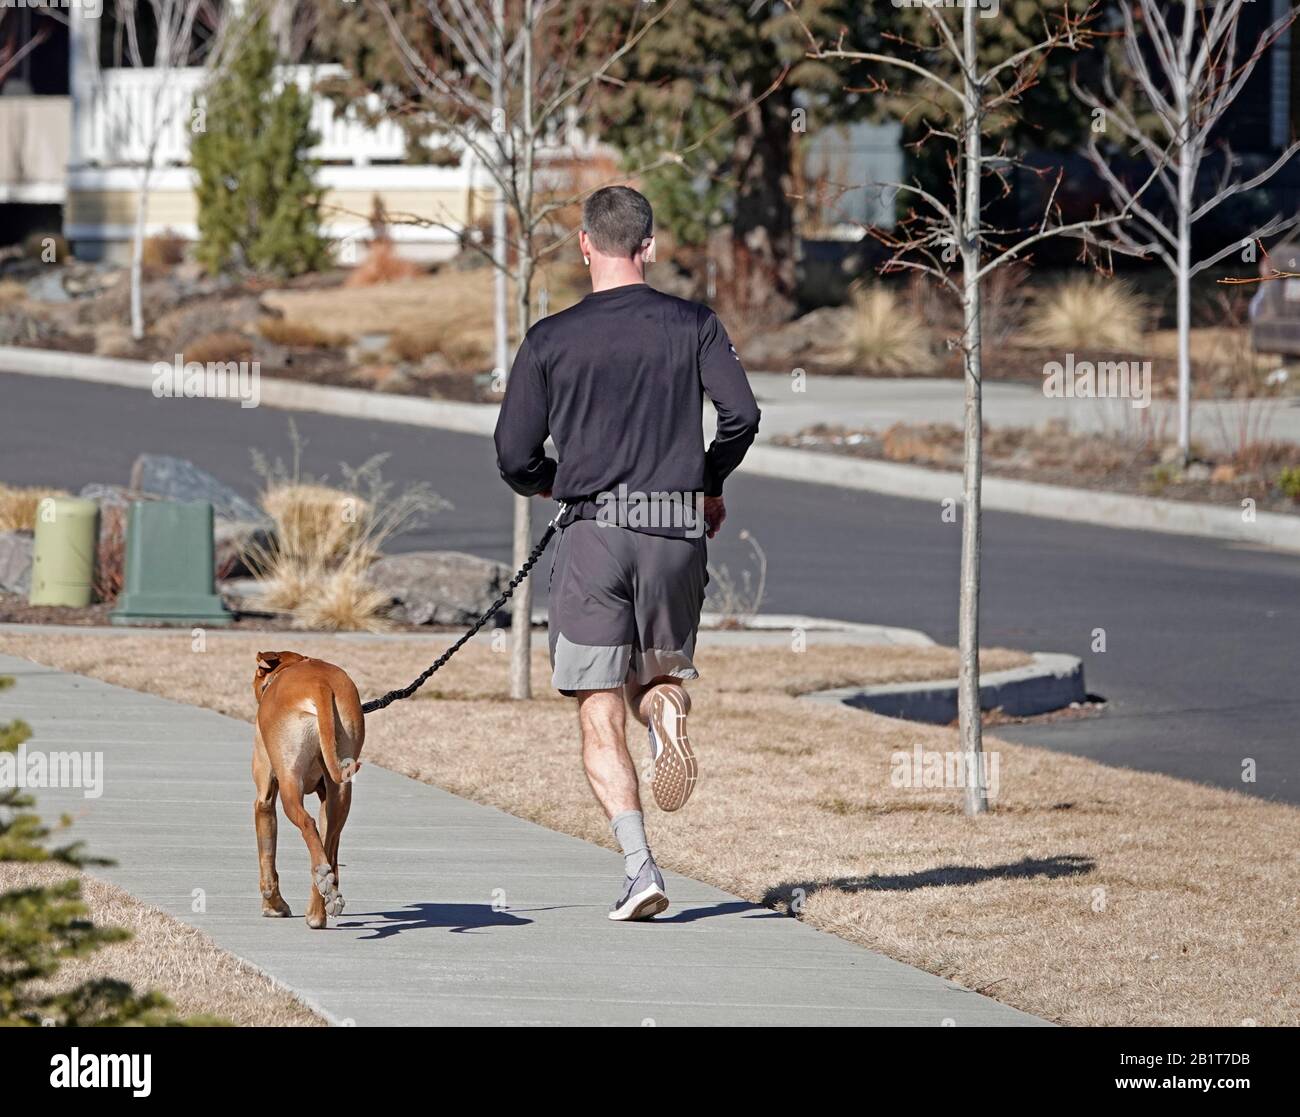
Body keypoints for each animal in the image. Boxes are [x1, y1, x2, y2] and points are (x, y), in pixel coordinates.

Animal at [252, 650, 366, 931]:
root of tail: (319, 685)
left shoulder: (264, 798)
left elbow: (267, 861)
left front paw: (273, 906)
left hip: (289, 783)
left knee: (307, 823)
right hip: (341, 790)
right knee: (327, 844)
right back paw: (322, 904)